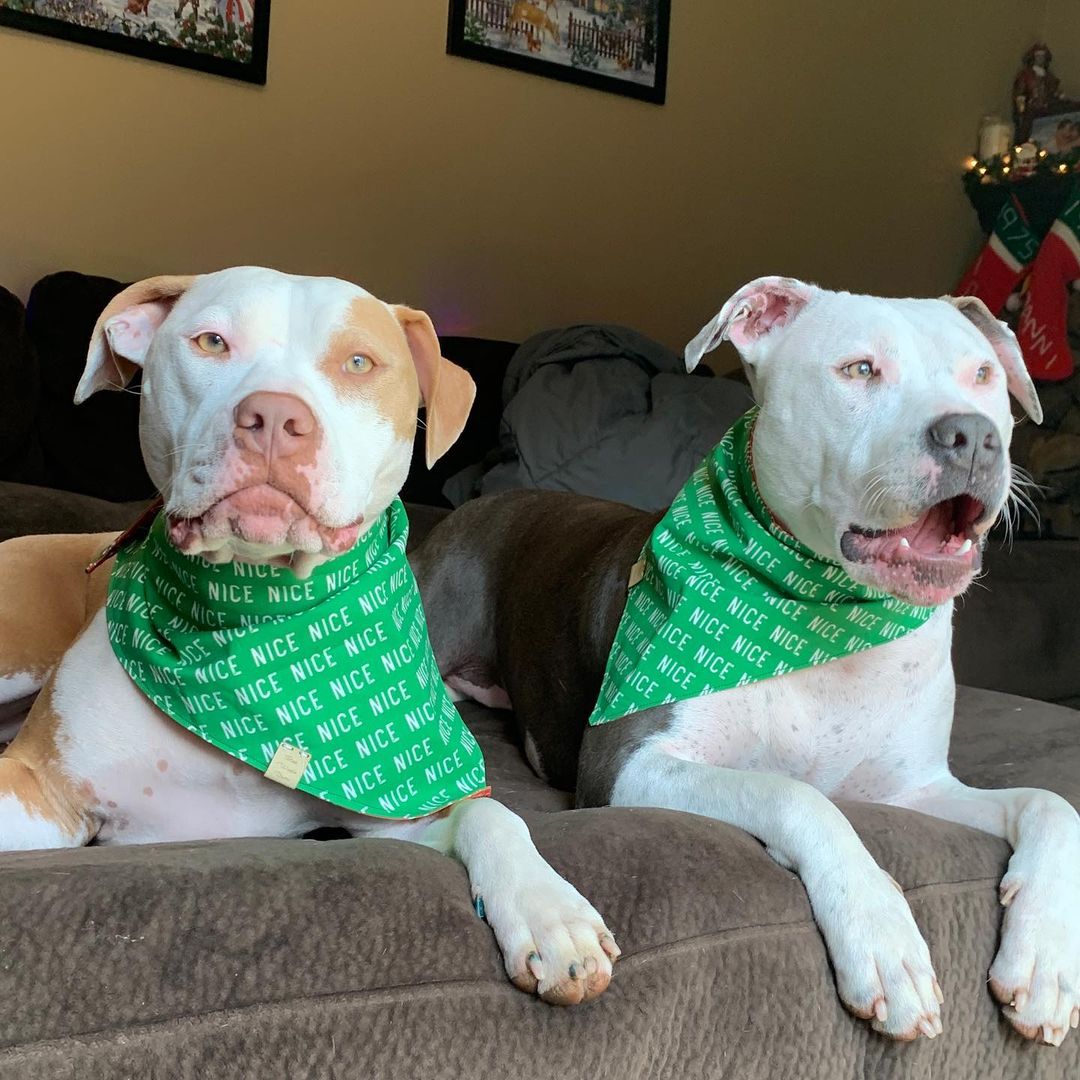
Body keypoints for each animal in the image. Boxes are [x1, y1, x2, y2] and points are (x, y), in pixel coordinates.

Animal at [0, 267, 617, 1002]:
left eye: (359, 363)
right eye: (211, 341)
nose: (274, 419)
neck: (256, 622)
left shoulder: (406, 802)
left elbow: (494, 815)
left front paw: (551, 914)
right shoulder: (41, 788)